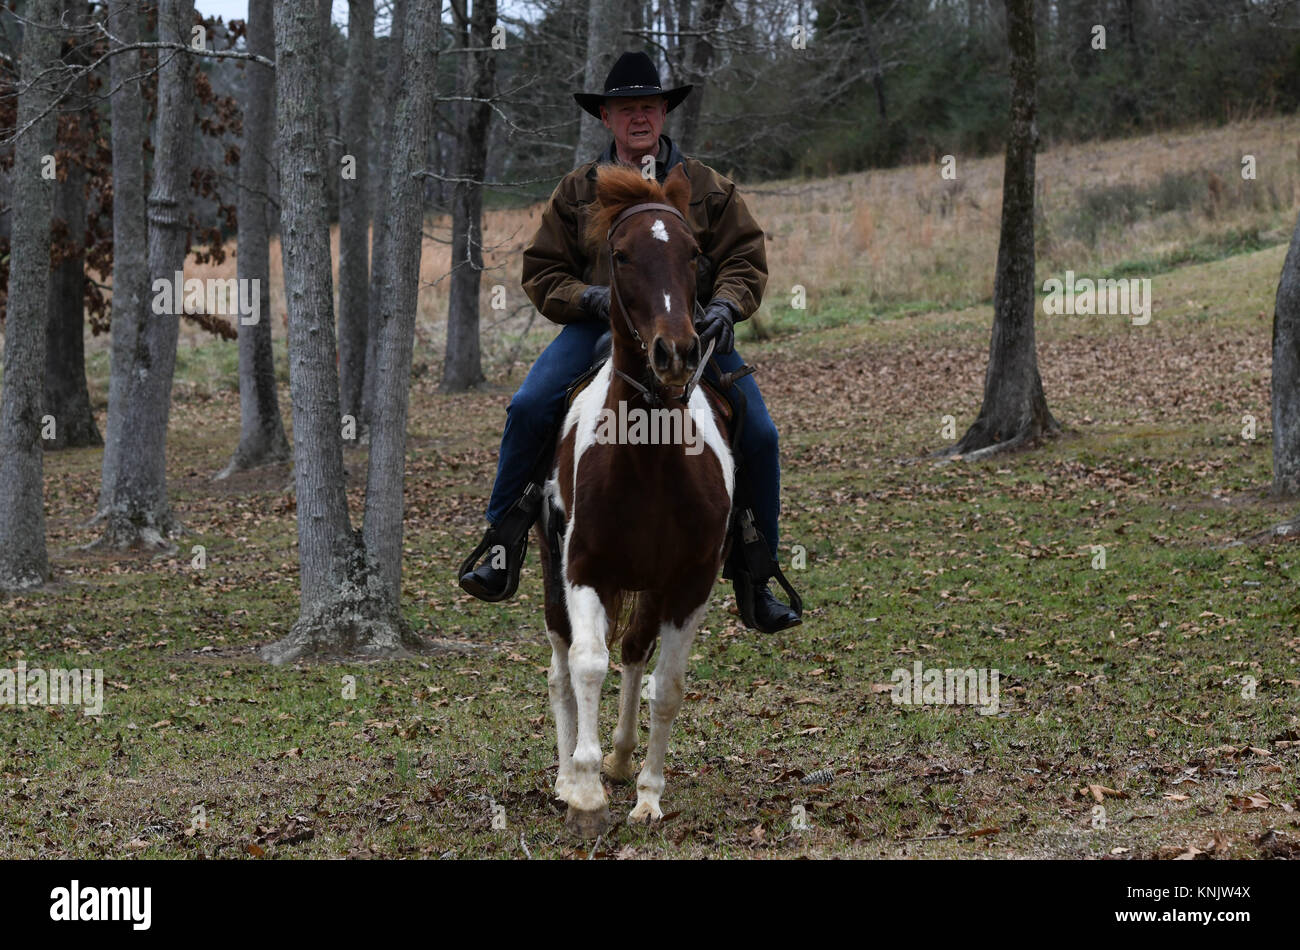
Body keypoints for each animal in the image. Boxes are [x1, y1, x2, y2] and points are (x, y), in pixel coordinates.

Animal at [535, 165, 738, 842]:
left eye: (693, 252)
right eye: (620, 256)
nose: (675, 353)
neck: (649, 465)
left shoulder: (690, 582)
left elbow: (665, 685)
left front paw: (646, 794)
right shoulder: (584, 570)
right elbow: (586, 664)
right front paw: (585, 791)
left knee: (633, 652)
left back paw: (622, 759)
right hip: (551, 567)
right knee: (563, 662)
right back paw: (566, 776)